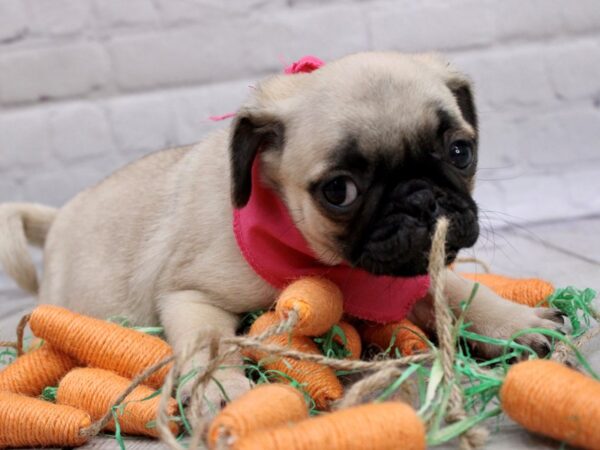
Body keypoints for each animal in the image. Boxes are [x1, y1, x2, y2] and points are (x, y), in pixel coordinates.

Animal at [0, 52, 564, 408]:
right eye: (339, 191)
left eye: (461, 151)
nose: (422, 198)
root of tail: (58, 218)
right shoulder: (191, 295)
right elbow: (211, 344)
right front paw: (222, 390)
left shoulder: (415, 270)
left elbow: (462, 290)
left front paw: (516, 323)